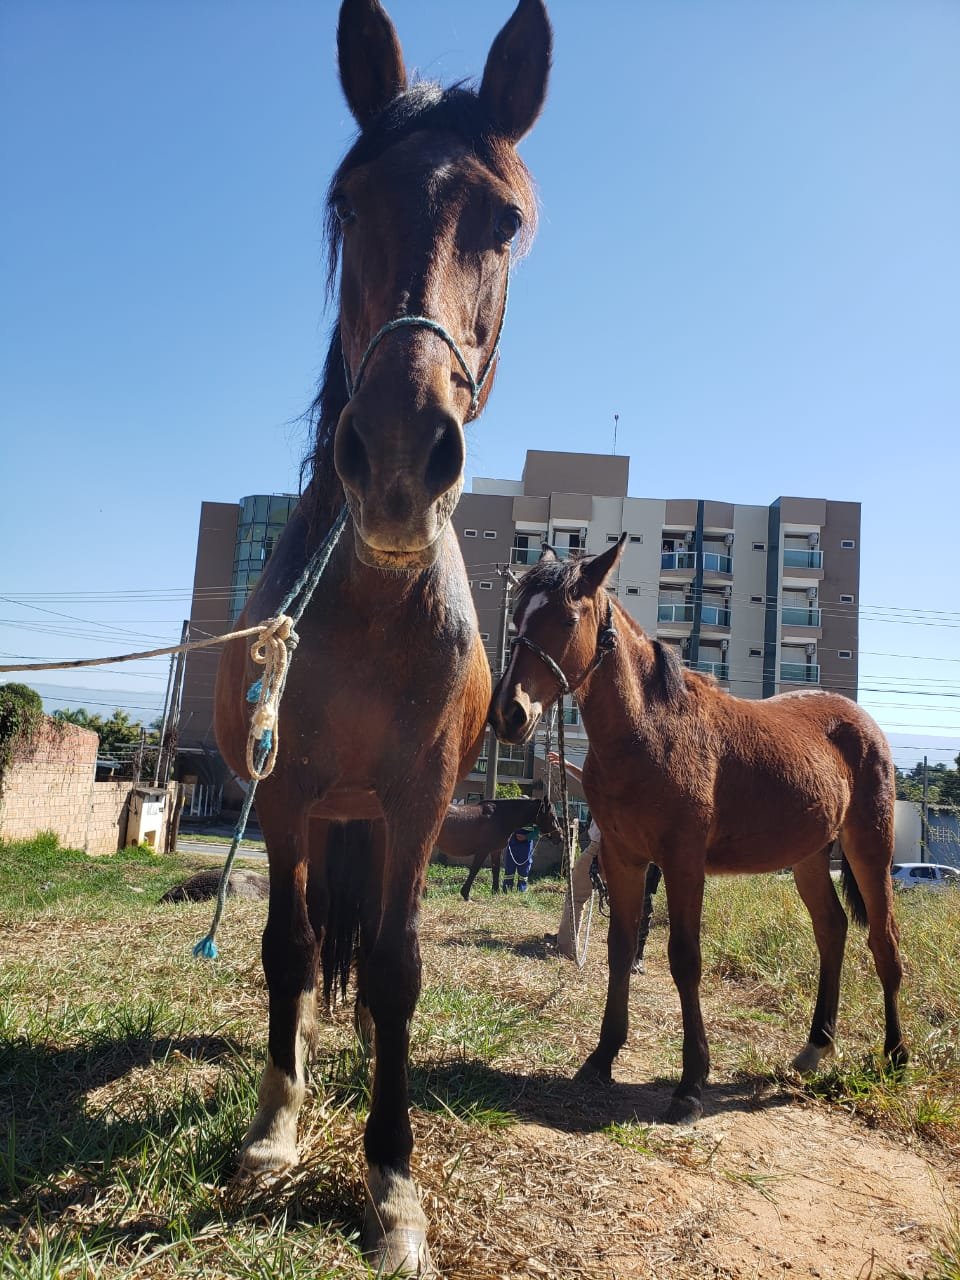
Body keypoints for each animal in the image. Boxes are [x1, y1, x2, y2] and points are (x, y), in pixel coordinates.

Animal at [213, 5, 552, 1274]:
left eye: (505, 221)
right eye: (350, 206)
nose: (402, 457)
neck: (367, 609)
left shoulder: (414, 803)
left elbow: (399, 968)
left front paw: (393, 1181)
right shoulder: (289, 795)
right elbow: (287, 949)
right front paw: (275, 1126)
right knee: (309, 947)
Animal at [440, 788, 568, 901]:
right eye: (553, 816)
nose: (560, 837)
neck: (499, 817)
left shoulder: (495, 850)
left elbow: (495, 870)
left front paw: (495, 892)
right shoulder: (482, 851)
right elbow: (474, 870)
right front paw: (466, 894)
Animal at [491, 540, 906, 1131]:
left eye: (568, 619)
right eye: (519, 619)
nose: (509, 713)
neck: (649, 731)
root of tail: (861, 722)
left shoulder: (682, 862)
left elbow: (685, 959)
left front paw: (690, 1086)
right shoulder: (624, 859)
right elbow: (621, 948)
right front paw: (601, 1057)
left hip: (869, 845)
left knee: (883, 940)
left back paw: (895, 1055)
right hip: (808, 857)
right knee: (833, 930)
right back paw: (816, 1045)